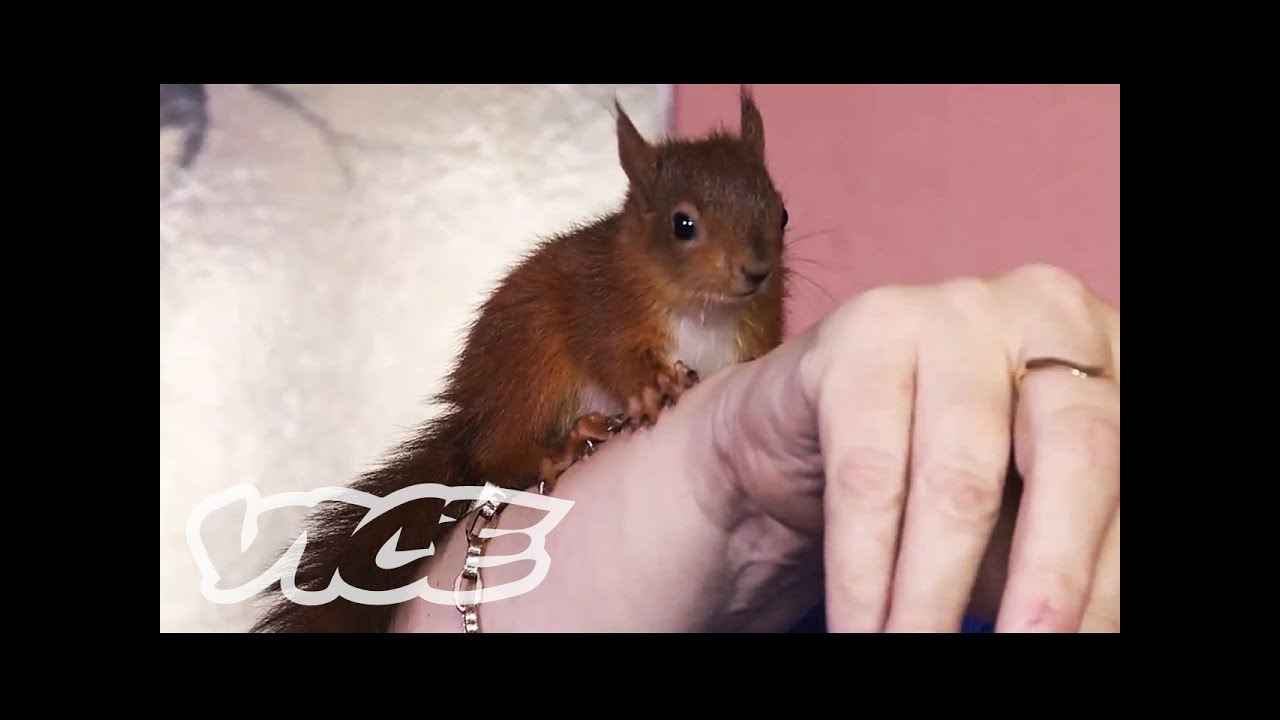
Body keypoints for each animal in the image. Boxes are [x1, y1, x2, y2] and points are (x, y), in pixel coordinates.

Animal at [249, 84, 791, 633]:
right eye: (683, 225)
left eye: (782, 213)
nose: (756, 272)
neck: (705, 312)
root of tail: (473, 420)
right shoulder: (598, 304)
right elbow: (609, 353)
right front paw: (646, 388)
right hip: (533, 369)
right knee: (497, 455)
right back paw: (558, 447)